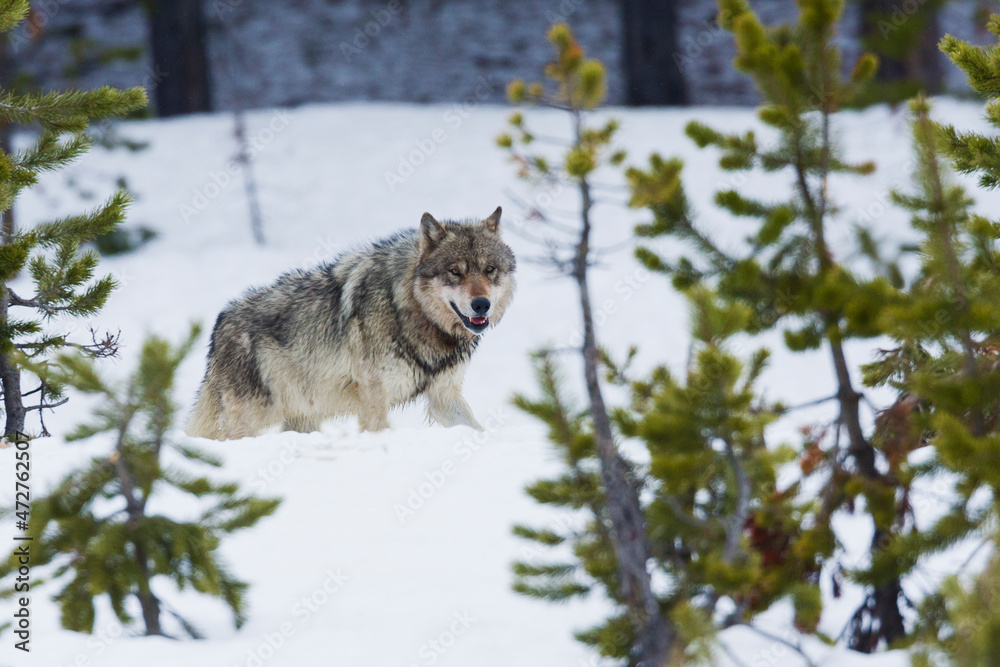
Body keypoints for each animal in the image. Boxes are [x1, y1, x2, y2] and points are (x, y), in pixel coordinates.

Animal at [186, 207, 516, 440]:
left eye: (489, 269)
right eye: (455, 272)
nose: (481, 304)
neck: (409, 310)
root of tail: (221, 322)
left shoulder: (443, 396)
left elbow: (476, 430)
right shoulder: (375, 399)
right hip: (251, 421)